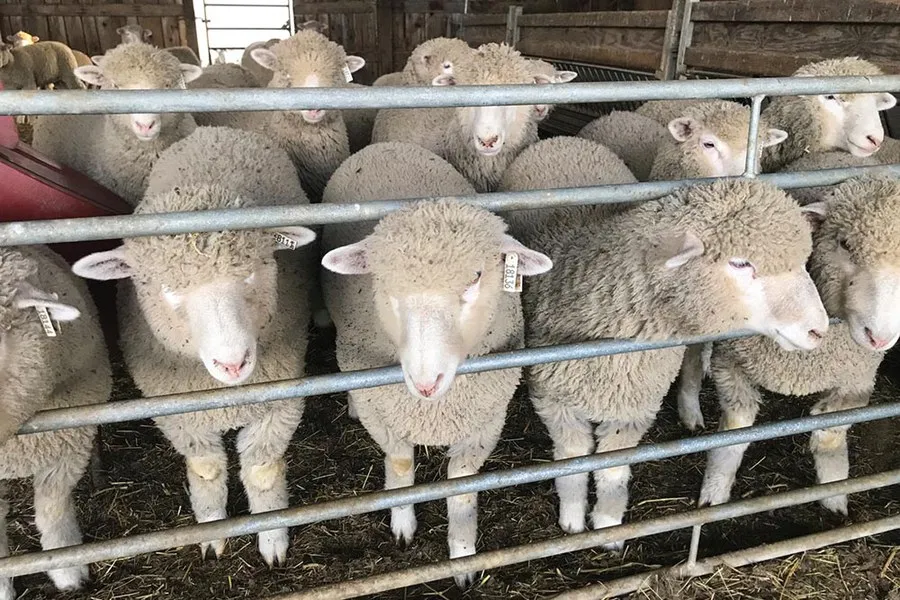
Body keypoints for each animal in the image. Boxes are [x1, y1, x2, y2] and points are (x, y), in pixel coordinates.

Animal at [71, 126, 317, 565]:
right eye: (169, 289)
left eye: (252, 273)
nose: (233, 363)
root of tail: (216, 131)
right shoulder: (178, 413)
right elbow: (207, 468)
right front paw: (213, 534)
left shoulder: (281, 399)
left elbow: (262, 470)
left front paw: (272, 539)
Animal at [320, 141, 553, 587]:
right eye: (383, 282)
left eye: (477, 276)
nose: (426, 383)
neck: (434, 410)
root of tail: (388, 145)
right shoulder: (384, 415)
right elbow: (400, 465)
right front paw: (403, 525)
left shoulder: (486, 422)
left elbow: (460, 488)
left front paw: (462, 557)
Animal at [523, 178, 828, 545]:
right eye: (741, 264)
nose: (819, 329)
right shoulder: (554, 401)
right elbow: (571, 461)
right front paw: (571, 521)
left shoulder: (635, 407)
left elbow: (613, 471)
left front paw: (609, 526)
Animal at [696, 176, 900, 515]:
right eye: (845, 244)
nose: (880, 337)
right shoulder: (730, 363)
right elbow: (734, 432)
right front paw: (714, 494)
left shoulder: (858, 380)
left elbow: (830, 436)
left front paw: (834, 500)